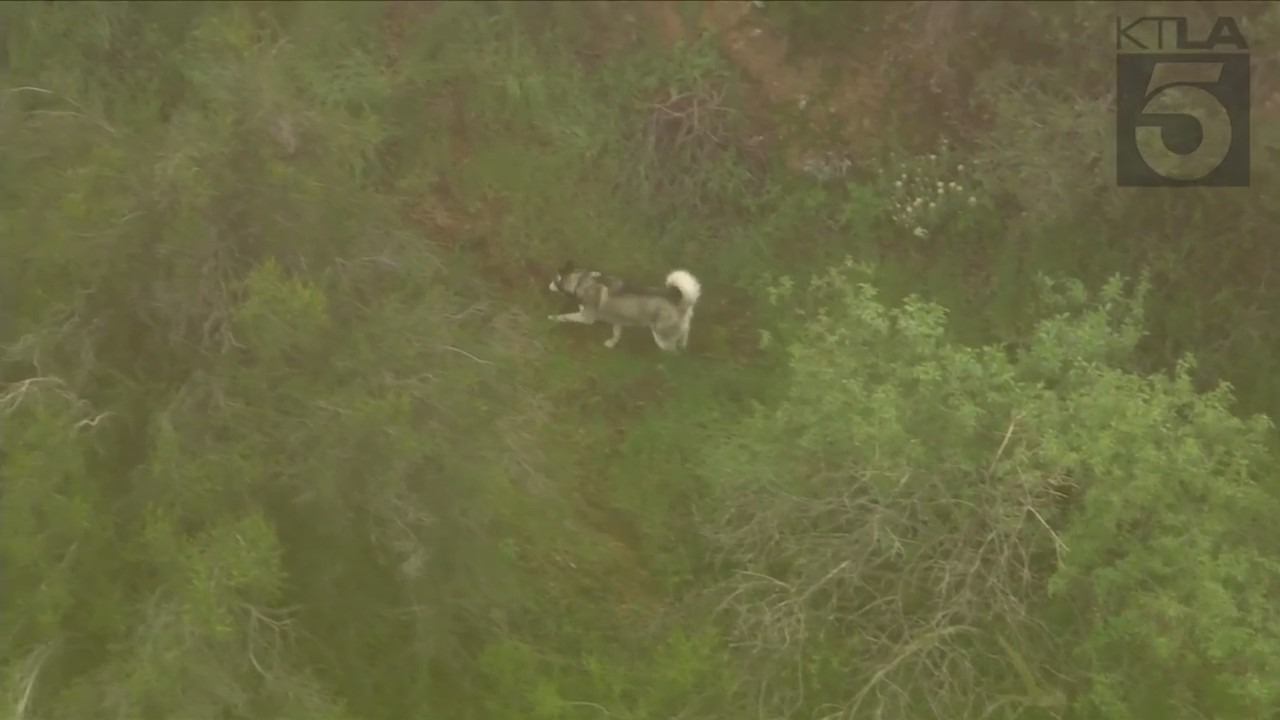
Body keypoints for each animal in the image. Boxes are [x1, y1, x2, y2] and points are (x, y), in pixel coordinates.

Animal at [542, 262, 701, 351]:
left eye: (554, 280)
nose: (548, 286)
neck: (581, 281)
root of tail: (682, 304)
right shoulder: (618, 320)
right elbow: (617, 334)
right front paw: (612, 343)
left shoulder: (585, 317)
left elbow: (565, 317)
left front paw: (552, 317)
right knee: (686, 330)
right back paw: (684, 344)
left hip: (661, 337)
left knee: (672, 347)